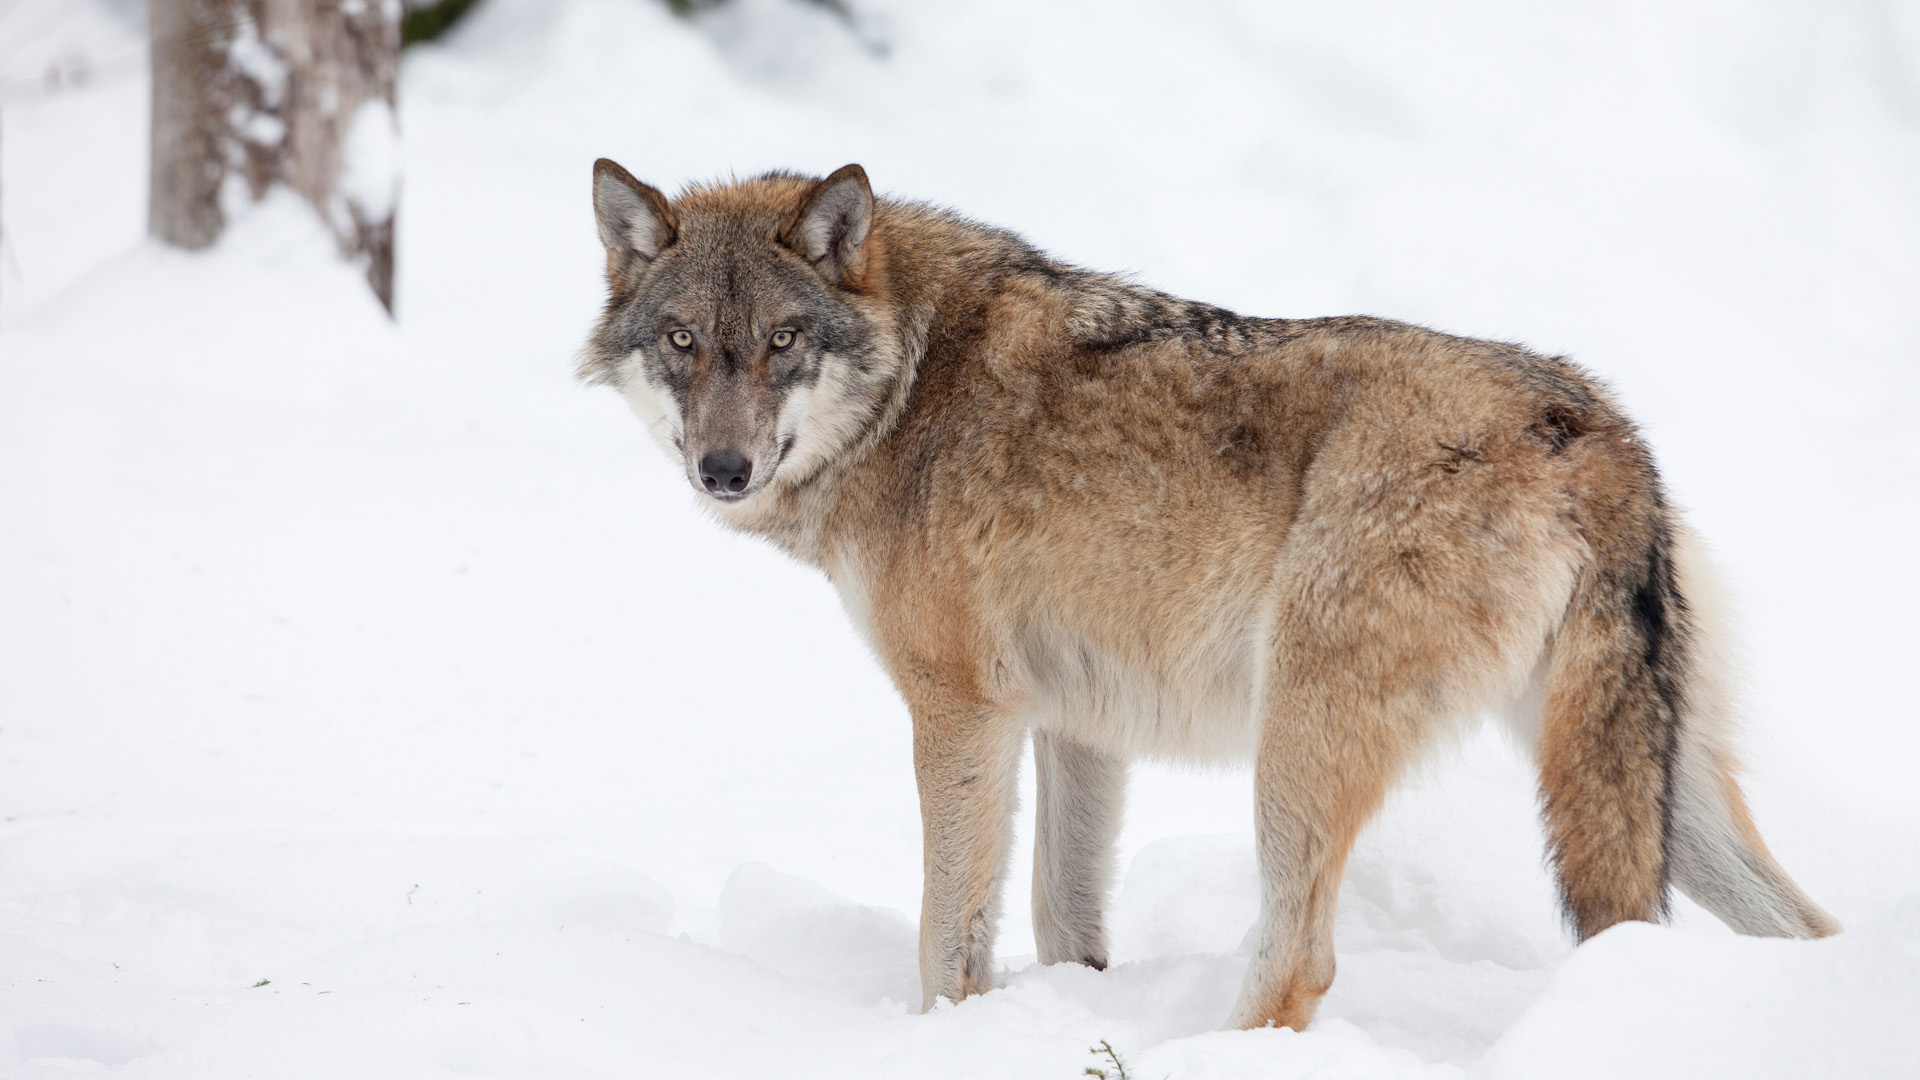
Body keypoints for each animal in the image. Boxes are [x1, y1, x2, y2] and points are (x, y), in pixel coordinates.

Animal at [579, 159, 1840, 1030]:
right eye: (684, 343)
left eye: (783, 341)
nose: (723, 469)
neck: (911, 386)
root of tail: (1593, 425)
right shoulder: (1074, 727)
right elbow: (1063, 921)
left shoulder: (961, 713)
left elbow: (949, 935)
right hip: (1640, 777)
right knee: (1804, 926)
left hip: (1301, 747)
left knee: (1299, 961)